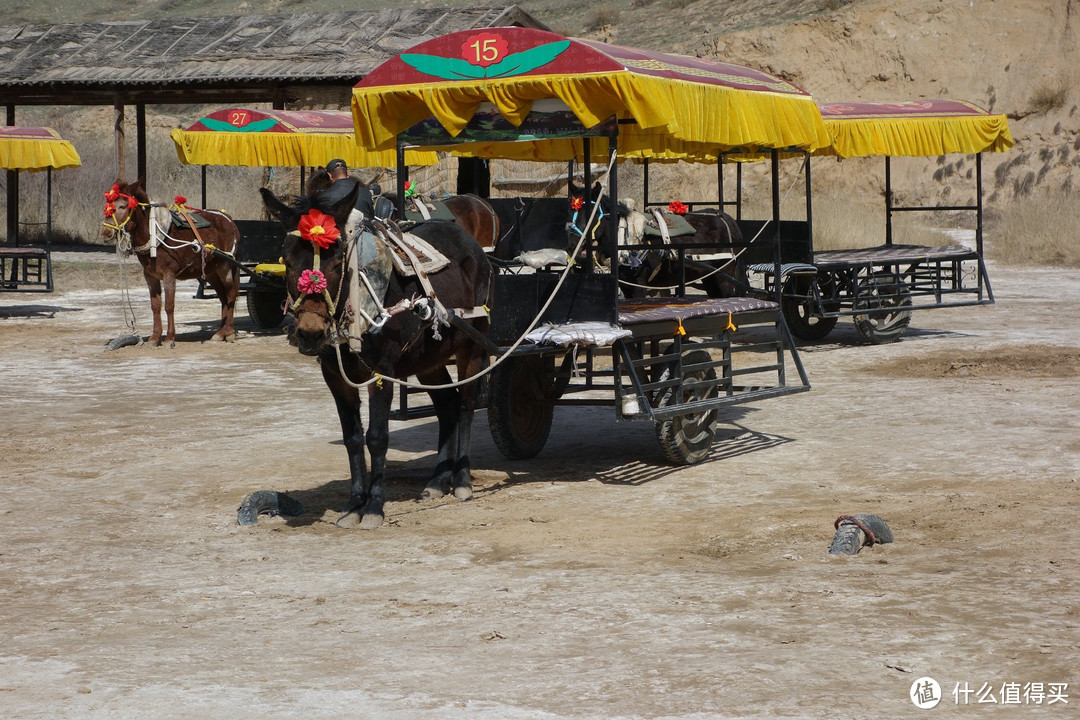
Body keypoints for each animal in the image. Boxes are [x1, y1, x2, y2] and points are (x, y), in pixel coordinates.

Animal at [100, 180, 240, 349]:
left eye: (122, 206)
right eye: (107, 206)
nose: (106, 232)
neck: (154, 237)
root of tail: (229, 219)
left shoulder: (169, 274)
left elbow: (169, 306)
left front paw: (169, 338)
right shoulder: (150, 276)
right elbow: (155, 306)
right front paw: (154, 338)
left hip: (226, 266)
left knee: (231, 293)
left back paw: (229, 332)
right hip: (212, 271)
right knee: (223, 297)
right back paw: (220, 333)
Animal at [259, 181, 494, 528]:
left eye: (337, 261)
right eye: (287, 261)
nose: (310, 333)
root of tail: (474, 245)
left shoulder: (382, 372)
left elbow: (378, 437)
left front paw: (373, 508)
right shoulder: (334, 375)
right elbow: (353, 438)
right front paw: (354, 504)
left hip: (472, 348)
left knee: (465, 406)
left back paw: (462, 481)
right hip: (429, 360)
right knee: (447, 407)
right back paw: (437, 482)